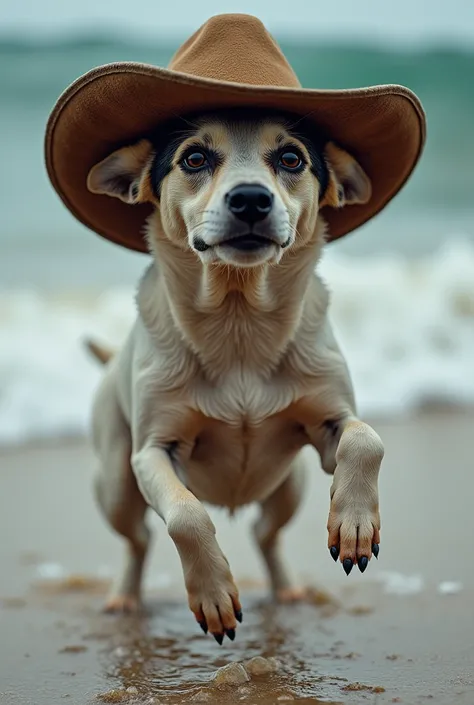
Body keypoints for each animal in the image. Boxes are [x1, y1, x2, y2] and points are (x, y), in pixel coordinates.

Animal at [84, 108, 382, 644]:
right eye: (194, 158)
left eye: (292, 158)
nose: (250, 199)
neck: (238, 326)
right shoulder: (153, 452)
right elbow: (185, 515)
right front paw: (214, 595)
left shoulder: (329, 426)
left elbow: (365, 438)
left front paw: (354, 524)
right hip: (116, 481)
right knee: (138, 540)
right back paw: (123, 599)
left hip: (290, 482)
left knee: (266, 534)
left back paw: (289, 591)